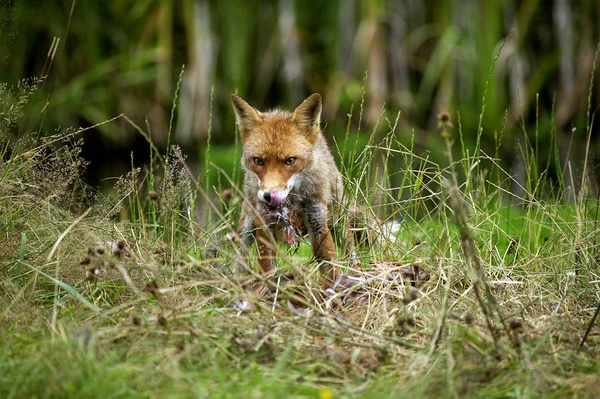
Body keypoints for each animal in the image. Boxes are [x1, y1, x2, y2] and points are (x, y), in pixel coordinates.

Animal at [231, 94, 352, 284]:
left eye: (290, 161)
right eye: (258, 161)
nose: (268, 196)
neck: (292, 200)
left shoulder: (317, 220)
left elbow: (329, 266)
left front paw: (333, 288)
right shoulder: (265, 224)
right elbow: (266, 268)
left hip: (338, 218)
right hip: (247, 225)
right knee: (240, 257)